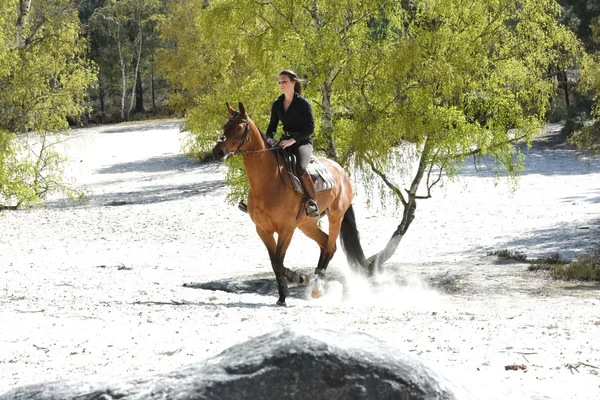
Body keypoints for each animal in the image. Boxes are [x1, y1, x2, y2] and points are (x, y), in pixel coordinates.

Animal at [211, 103, 370, 306]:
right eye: (225, 126)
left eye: (239, 128)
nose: (218, 152)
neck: (268, 183)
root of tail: (341, 170)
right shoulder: (263, 229)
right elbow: (275, 262)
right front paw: (290, 286)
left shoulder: (286, 229)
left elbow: (279, 261)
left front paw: (289, 288)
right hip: (307, 224)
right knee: (325, 243)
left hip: (336, 217)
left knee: (330, 247)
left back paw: (318, 288)